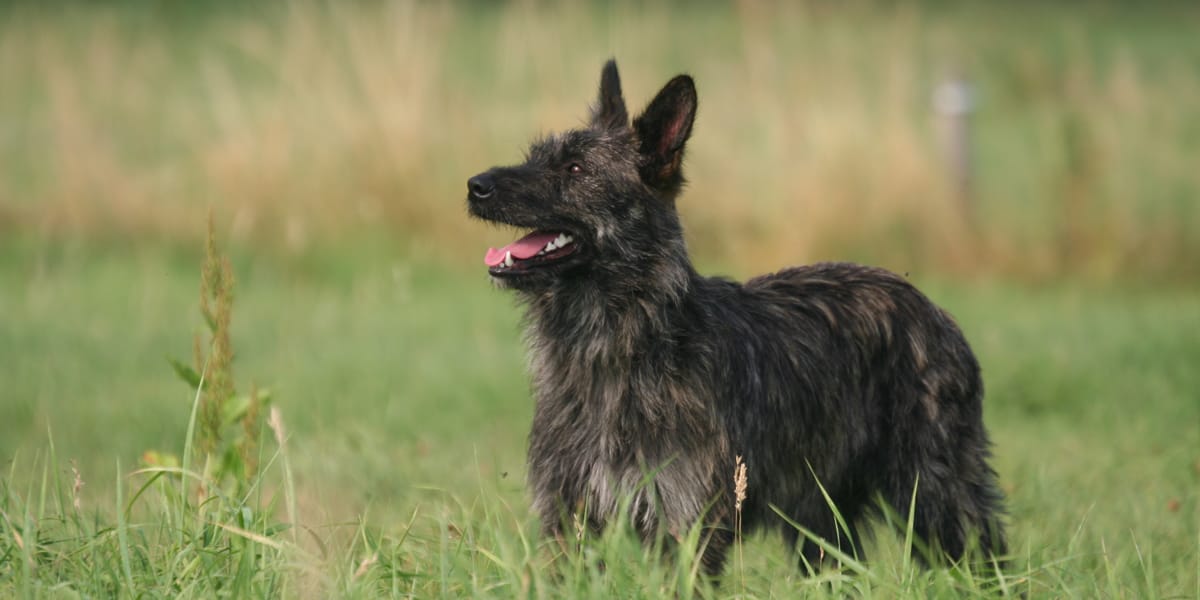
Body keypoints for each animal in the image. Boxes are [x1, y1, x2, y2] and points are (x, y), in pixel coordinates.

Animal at [465, 60, 1003, 576]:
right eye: (535, 156)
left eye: (575, 168)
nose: (475, 186)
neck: (622, 343)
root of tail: (928, 306)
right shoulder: (570, 520)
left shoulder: (687, 527)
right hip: (821, 522)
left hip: (938, 498)